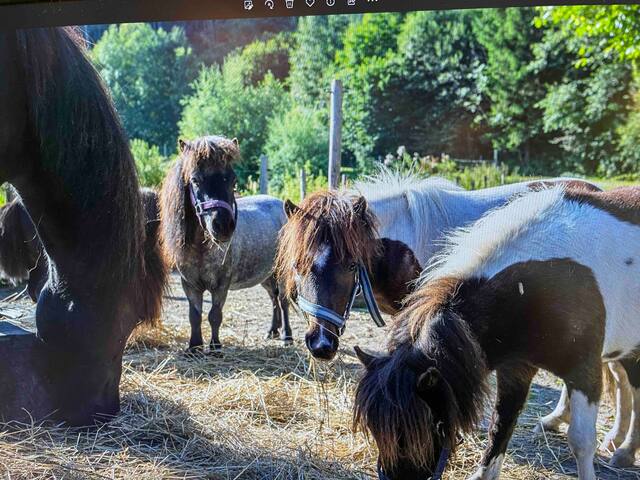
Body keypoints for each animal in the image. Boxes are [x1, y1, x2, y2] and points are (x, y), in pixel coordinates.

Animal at [160, 135, 290, 352]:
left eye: (233, 179)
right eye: (195, 180)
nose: (223, 226)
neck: (201, 248)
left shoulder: (221, 285)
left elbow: (214, 316)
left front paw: (215, 348)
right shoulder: (190, 285)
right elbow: (194, 317)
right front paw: (194, 347)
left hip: (282, 271)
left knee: (283, 300)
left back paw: (287, 335)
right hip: (266, 274)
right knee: (273, 297)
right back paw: (272, 330)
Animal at [352, 185, 640, 480]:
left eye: (415, 435)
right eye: (375, 432)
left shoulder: (584, 372)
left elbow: (581, 441)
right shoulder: (515, 370)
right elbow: (500, 427)